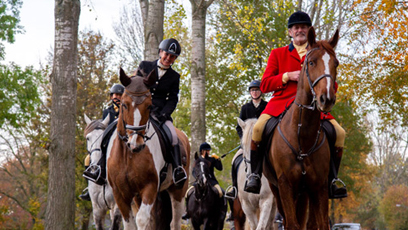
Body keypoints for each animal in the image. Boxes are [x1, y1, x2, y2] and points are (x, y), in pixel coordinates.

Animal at [107, 68, 190, 230]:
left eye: (149, 106)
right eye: (124, 105)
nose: (136, 144)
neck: (128, 155)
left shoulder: (150, 187)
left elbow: (142, 220)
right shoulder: (120, 194)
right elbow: (130, 224)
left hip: (178, 190)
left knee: (174, 222)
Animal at [262, 26, 340, 229]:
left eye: (336, 64)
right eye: (311, 63)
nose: (327, 99)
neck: (302, 136)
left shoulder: (319, 186)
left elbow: (320, 224)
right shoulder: (285, 185)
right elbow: (292, 224)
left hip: (304, 192)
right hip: (277, 189)